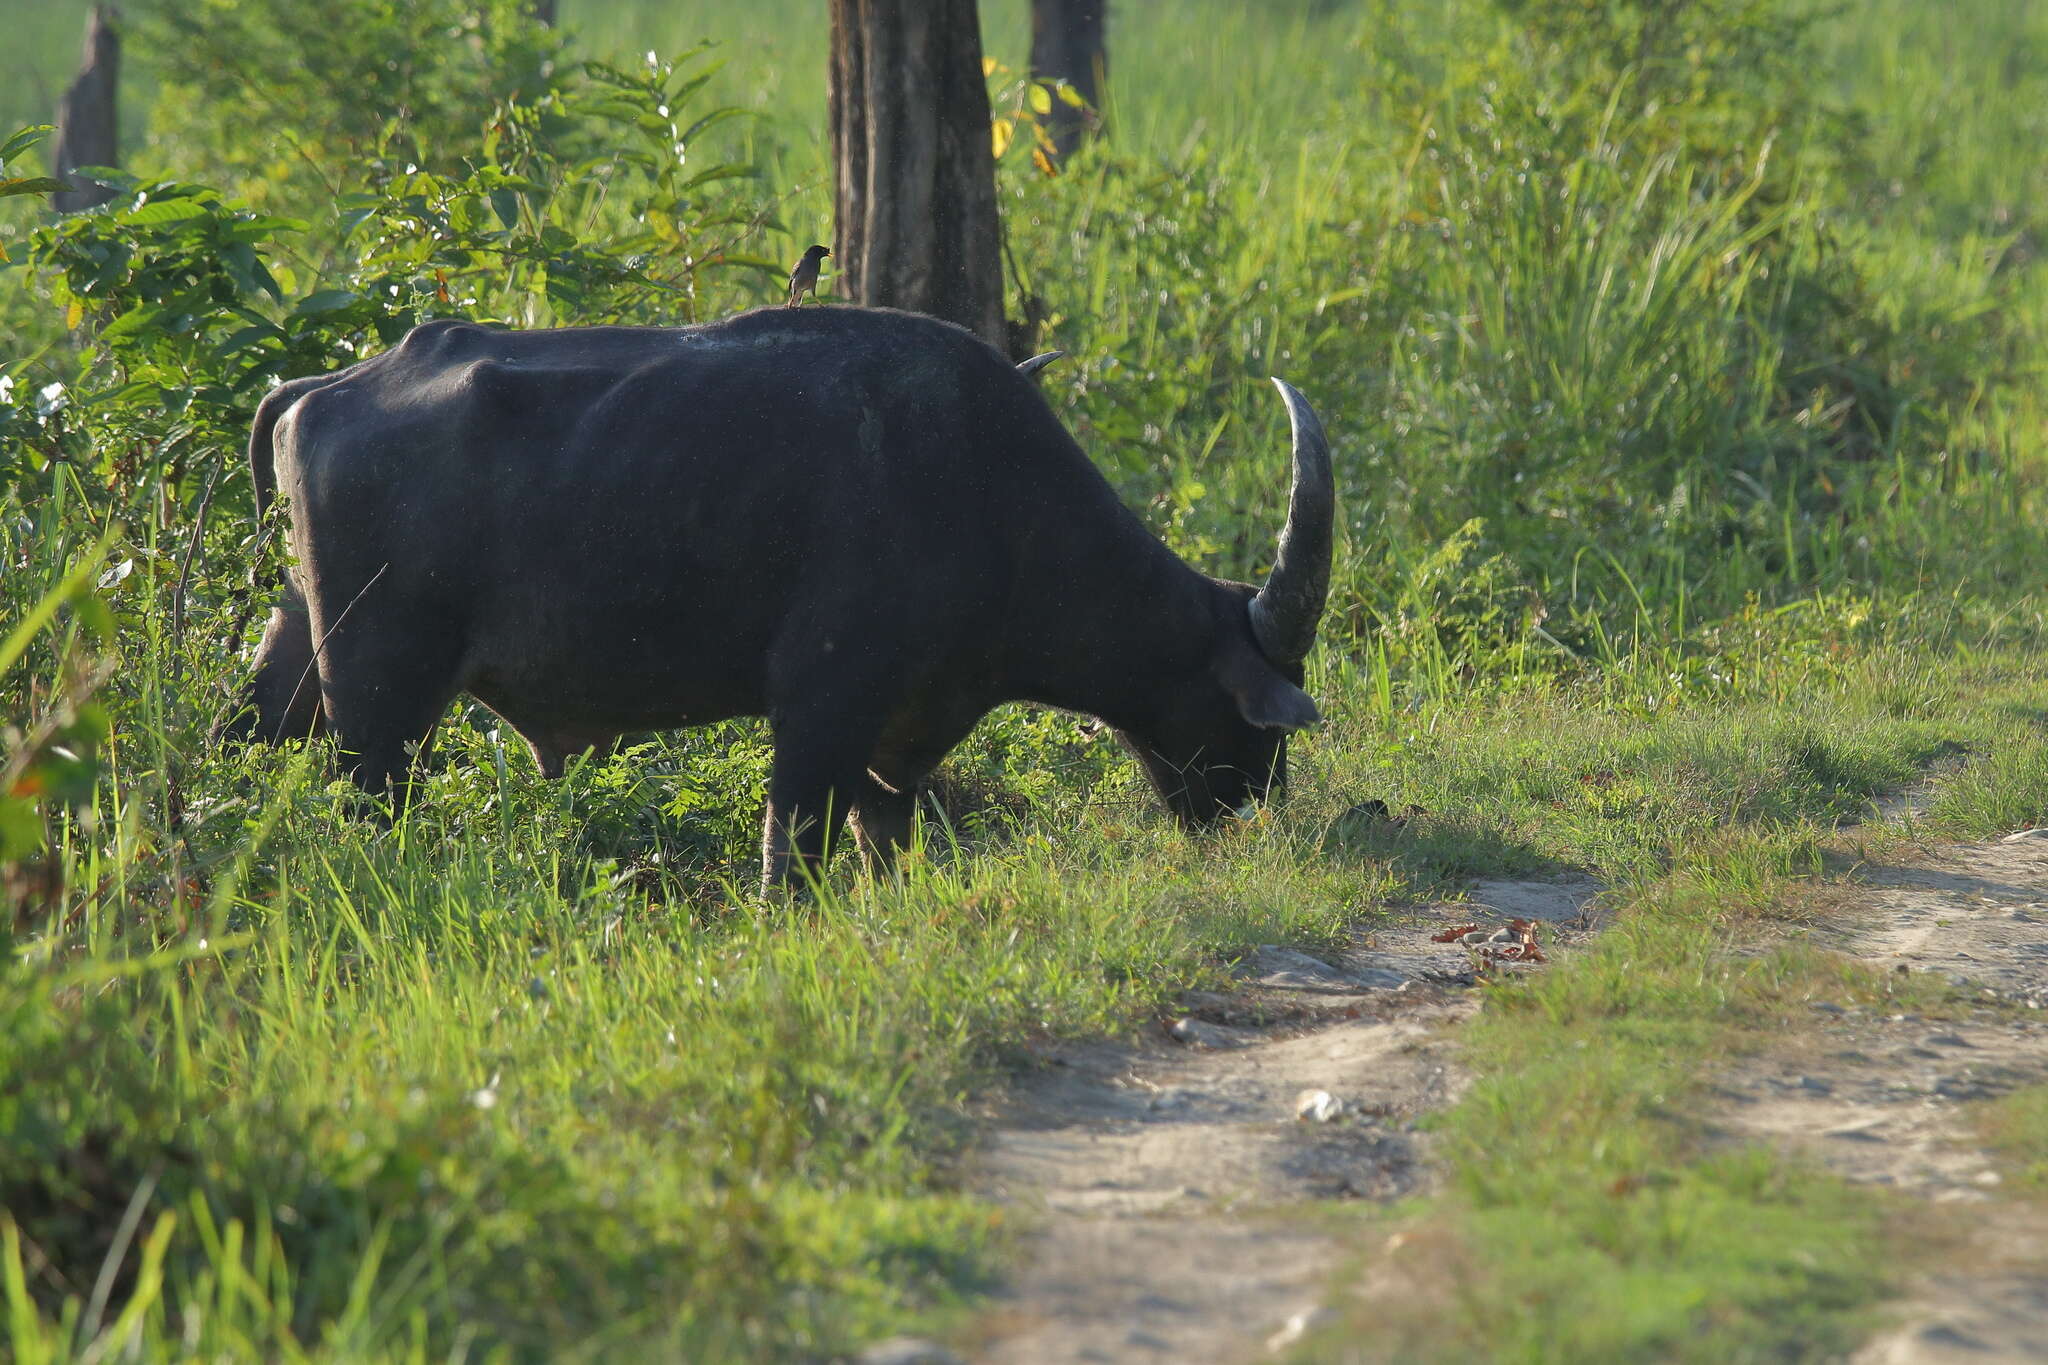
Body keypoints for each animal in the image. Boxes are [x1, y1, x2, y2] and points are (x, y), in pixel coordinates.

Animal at [224, 304, 1335, 892]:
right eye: (1254, 720)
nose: (1252, 807)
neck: (994, 496)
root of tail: (324, 386)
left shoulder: (896, 740)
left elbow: (883, 837)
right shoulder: (819, 707)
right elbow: (789, 849)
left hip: (296, 646)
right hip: (382, 699)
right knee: (368, 801)